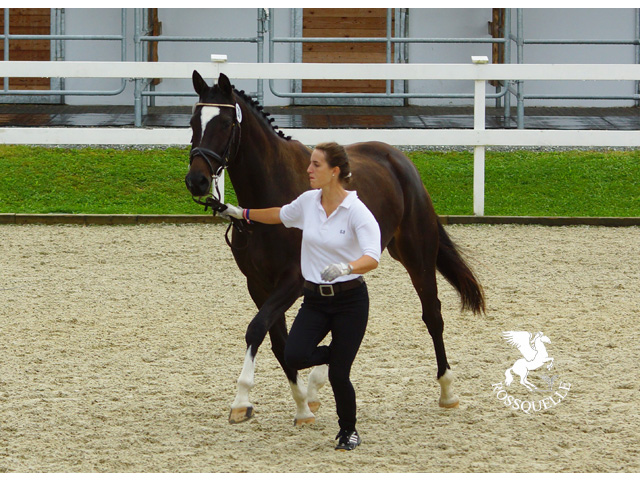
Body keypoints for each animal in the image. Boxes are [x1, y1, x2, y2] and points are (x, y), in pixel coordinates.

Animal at [185, 71, 484, 426]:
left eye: (227, 123)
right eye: (193, 122)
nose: (197, 181)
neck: (271, 193)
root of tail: (399, 160)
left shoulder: (292, 281)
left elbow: (258, 329)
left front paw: (242, 400)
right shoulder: (258, 284)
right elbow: (280, 343)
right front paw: (302, 406)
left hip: (417, 255)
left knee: (432, 315)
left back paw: (448, 390)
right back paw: (316, 386)